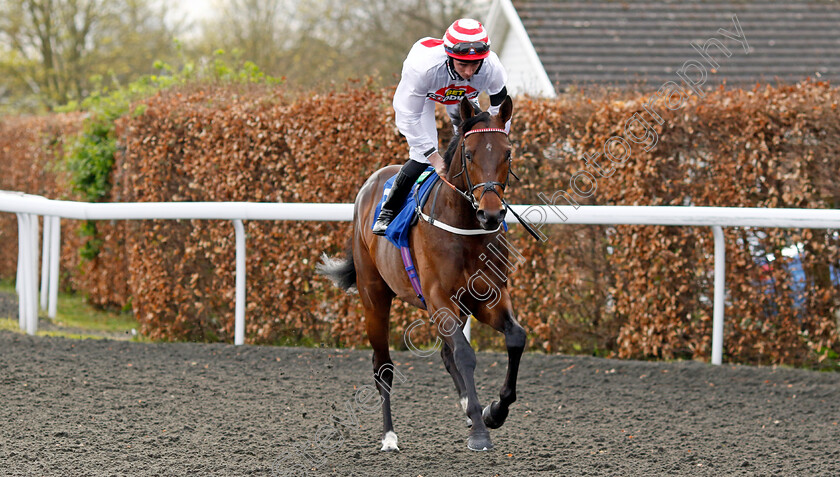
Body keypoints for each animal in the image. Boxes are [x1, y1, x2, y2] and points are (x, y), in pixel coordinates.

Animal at [316, 96, 524, 450]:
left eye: (507, 152)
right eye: (469, 154)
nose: (491, 214)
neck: (466, 230)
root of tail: (369, 186)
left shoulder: (488, 296)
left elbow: (515, 337)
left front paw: (494, 411)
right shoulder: (439, 297)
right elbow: (465, 354)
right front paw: (480, 431)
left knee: (445, 353)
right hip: (374, 296)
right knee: (383, 366)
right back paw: (389, 436)